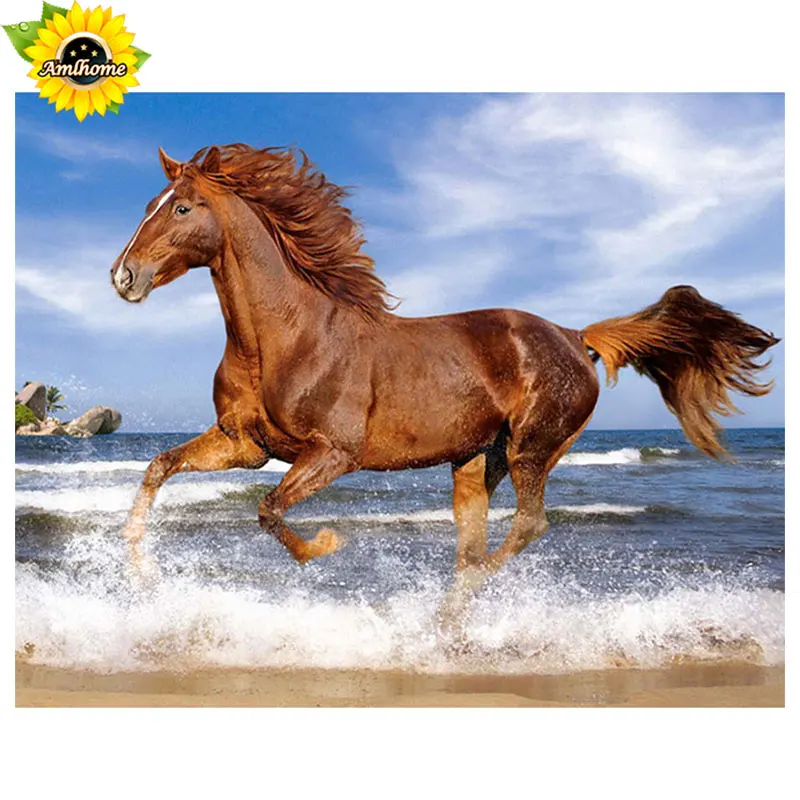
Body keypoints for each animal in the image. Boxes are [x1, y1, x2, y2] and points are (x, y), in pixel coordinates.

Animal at [110, 142, 779, 600]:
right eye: (148, 205)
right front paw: (138, 569)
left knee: (526, 526)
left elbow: (269, 509)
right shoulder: (245, 446)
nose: (123, 276)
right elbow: (158, 469)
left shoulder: (335, 453)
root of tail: (574, 336)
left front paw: (324, 546)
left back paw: (460, 598)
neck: (285, 338)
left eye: (183, 207)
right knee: (475, 538)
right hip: (478, 461)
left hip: (532, 449)